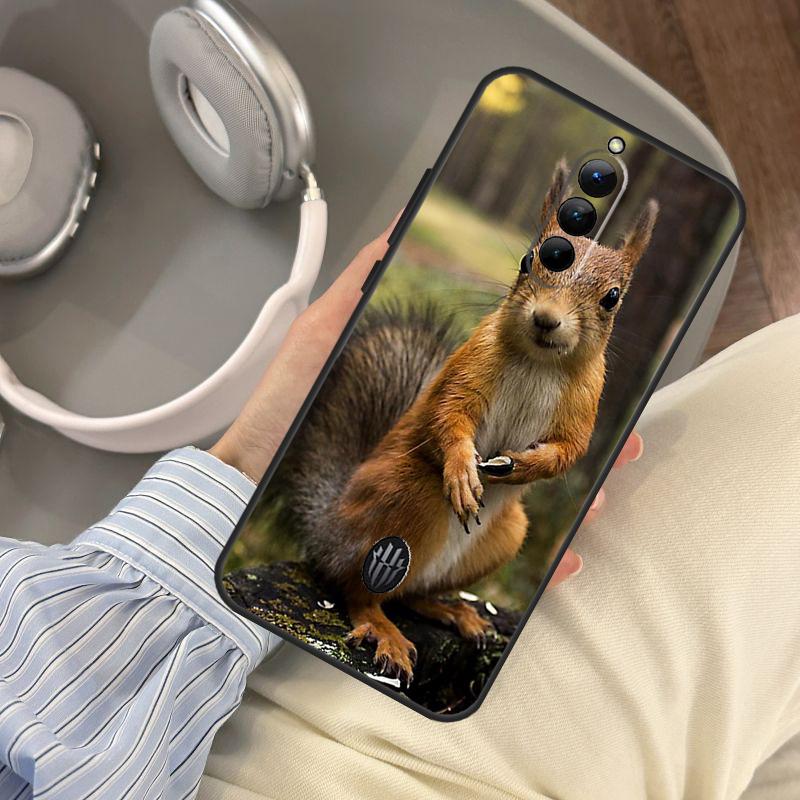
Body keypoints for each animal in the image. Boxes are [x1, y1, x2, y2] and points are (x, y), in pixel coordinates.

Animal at [272, 161, 659, 683]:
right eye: (526, 261)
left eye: (612, 297)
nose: (546, 318)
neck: (539, 362)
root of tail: (327, 526)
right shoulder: (468, 367)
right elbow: (449, 415)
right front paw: (460, 472)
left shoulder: (584, 404)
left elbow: (568, 450)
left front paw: (522, 466)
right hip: (402, 494)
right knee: (358, 590)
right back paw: (382, 628)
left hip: (506, 535)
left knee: (408, 593)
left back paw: (450, 609)